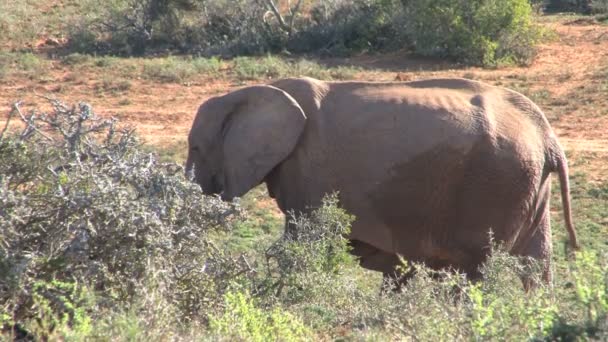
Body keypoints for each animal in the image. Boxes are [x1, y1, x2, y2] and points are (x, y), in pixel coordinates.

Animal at [186, 77, 580, 286]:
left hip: (496, 182)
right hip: (527, 184)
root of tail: (548, 137)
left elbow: (303, 238)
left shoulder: (306, 170)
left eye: (195, 147)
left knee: (477, 265)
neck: (256, 90)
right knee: (535, 262)